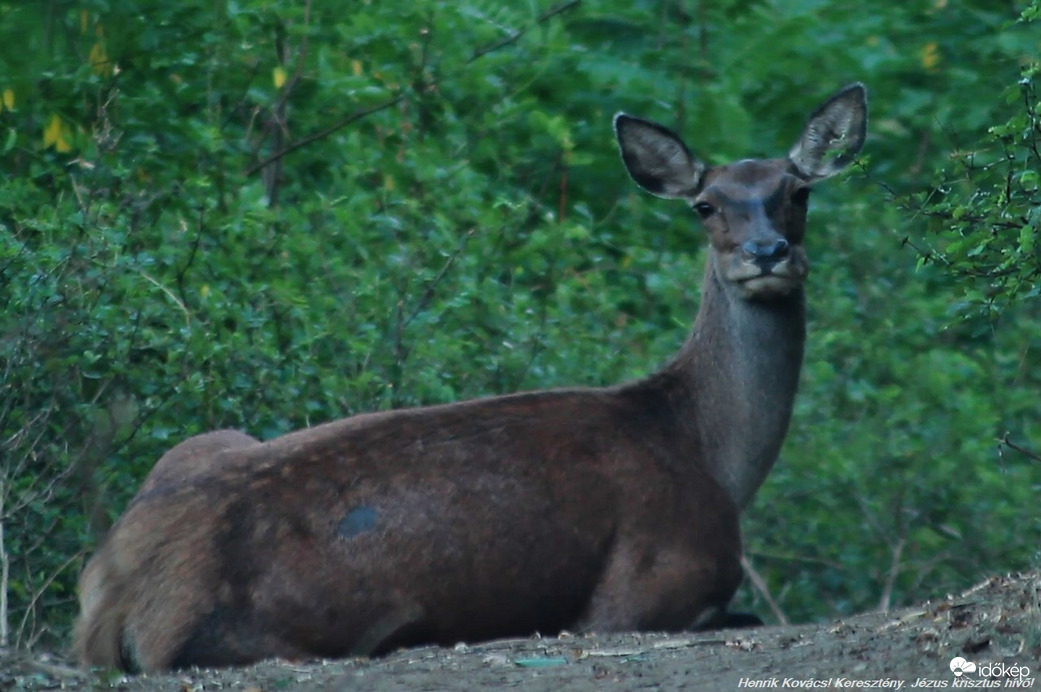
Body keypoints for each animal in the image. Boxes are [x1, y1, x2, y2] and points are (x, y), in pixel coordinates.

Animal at [77, 81, 866, 670]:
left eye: (799, 192)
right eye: (705, 205)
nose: (767, 253)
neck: (711, 454)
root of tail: (118, 595)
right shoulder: (641, 591)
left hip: (205, 440)